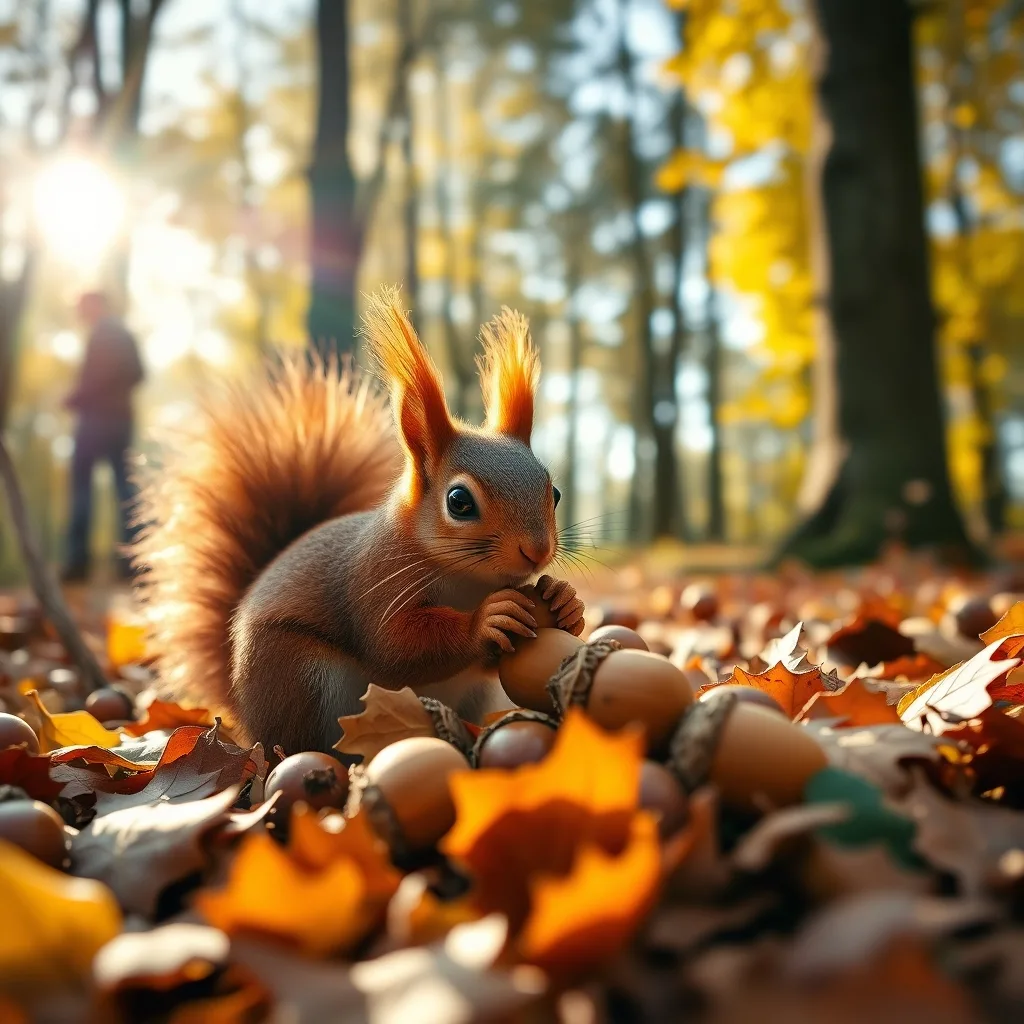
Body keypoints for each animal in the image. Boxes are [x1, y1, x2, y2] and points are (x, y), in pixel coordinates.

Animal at [133, 287, 585, 756]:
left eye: (554, 493)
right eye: (459, 501)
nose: (537, 551)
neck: (470, 581)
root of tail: (244, 715)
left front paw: (566, 601)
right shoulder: (374, 581)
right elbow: (398, 646)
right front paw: (486, 621)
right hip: (300, 676)